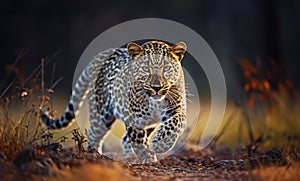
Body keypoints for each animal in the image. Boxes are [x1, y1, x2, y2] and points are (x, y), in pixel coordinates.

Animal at [40, 40, 188, 163]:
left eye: (166, 68)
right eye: (145, 68)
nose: (156, 87)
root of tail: (102, 54)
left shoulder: (177, 110)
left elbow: (176, 122)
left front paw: (160, 144)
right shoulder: (133, 118)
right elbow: (139, 141)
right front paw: (149, 158)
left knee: (124, 138)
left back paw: (129, 156)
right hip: (102, 113)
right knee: (94, 135)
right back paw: (95, 157)